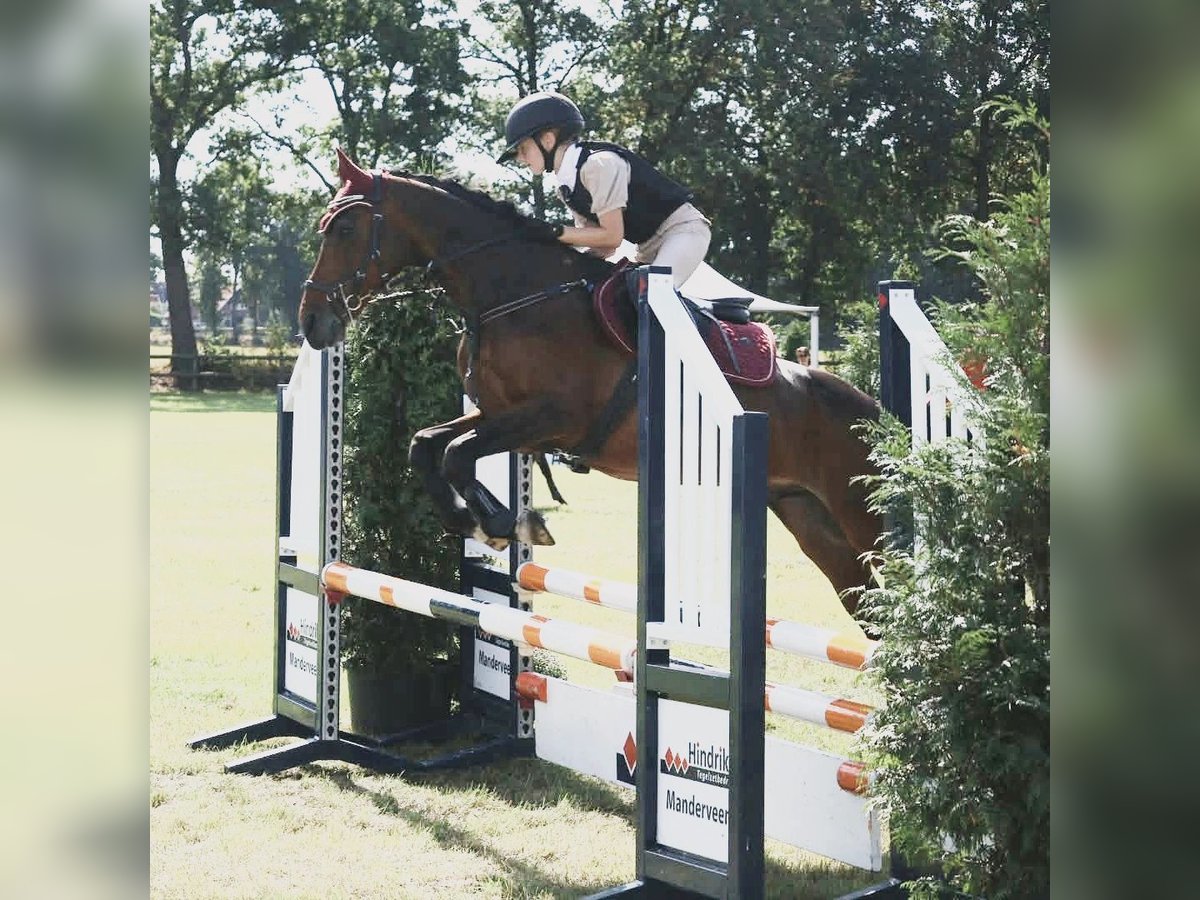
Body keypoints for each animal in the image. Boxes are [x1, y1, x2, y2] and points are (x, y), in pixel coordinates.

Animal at [299, 149, 881, 615]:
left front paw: (509, 523)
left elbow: (457, 454)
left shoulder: (556, 416)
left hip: (860, 515)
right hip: (807, 517)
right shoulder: (499, 414)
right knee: (866, 603)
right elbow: (427, 446)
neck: (512, 295)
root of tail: (874, 414)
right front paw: (483, 521)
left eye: (344, 230)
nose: (312, 322)